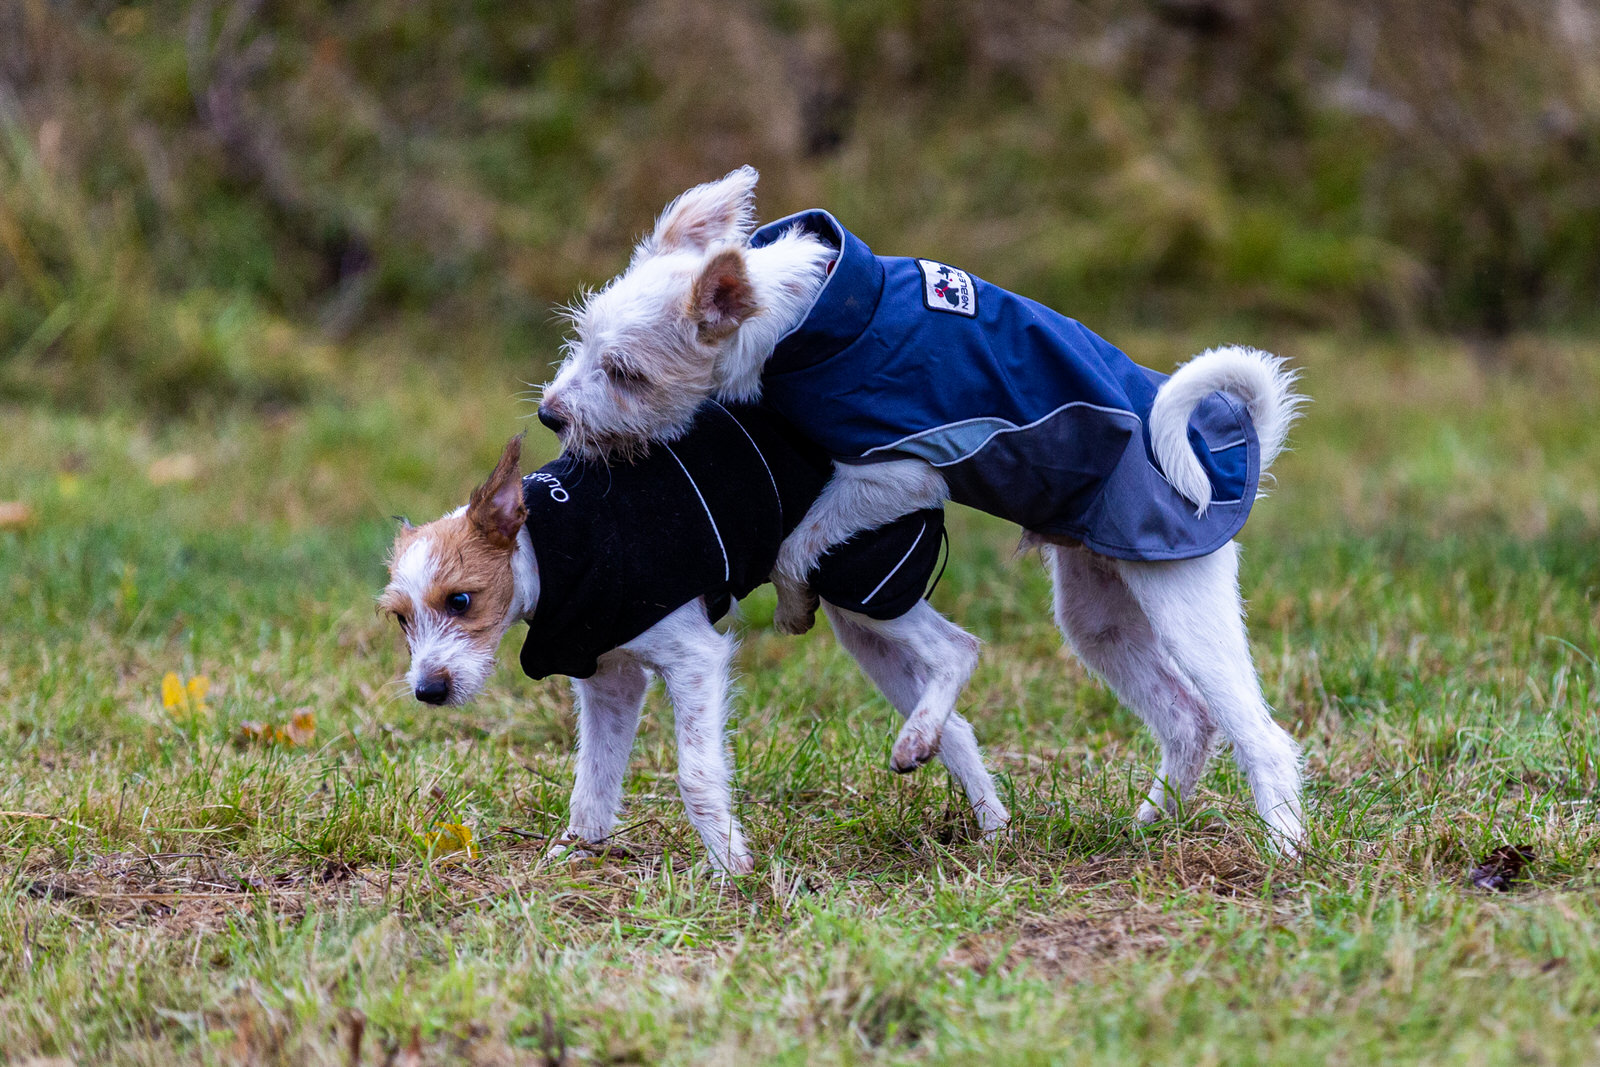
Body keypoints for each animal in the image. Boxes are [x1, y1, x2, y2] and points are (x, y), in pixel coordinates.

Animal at [540, 163, 1312, 857]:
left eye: (627, 374)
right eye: (579, 341)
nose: (550, 415)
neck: (804, 317)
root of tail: (1236, 455)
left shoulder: (901, 471)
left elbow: (799, 544)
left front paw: (790, 601)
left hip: (1183, 598)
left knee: (1259, 734)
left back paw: (1286, 851)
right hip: (1098, 616)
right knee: (1186, 720)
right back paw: (1149, 826)